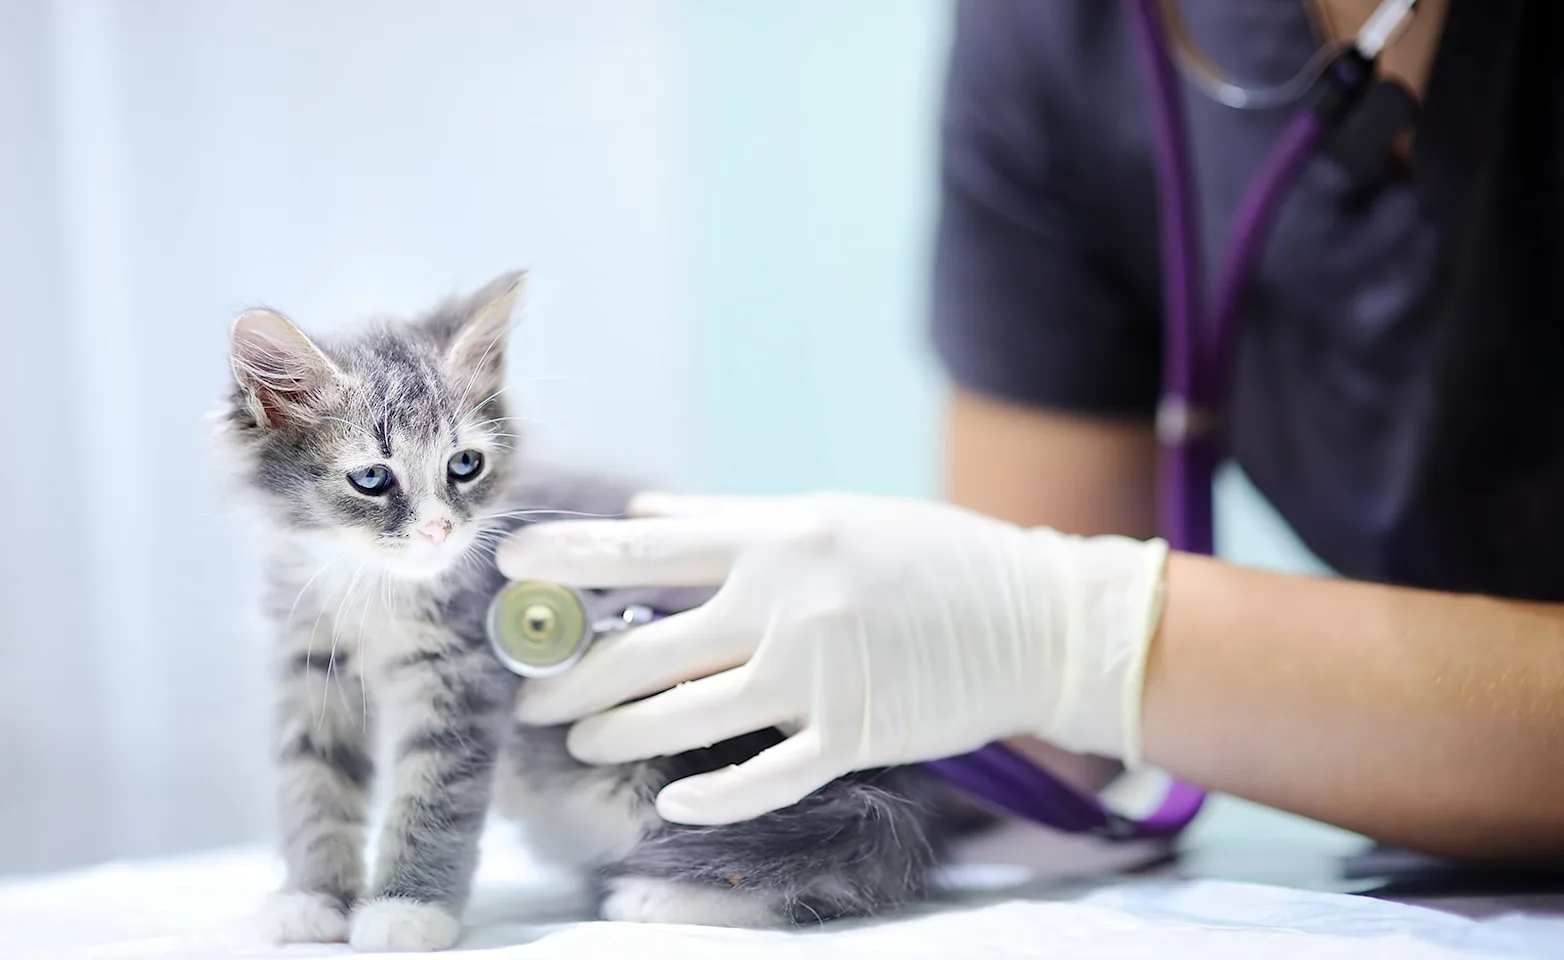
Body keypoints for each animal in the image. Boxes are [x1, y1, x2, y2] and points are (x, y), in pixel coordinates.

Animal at [217, 272, 975, 956]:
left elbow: (433, 797)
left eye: (464, 466)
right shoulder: (307, 666)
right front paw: (312, 900)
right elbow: (314, 784)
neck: (372, 588)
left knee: (839, 871)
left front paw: (408, 911)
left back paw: (661, 896)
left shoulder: (463, 676)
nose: (438, 531)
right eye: (373, 478)